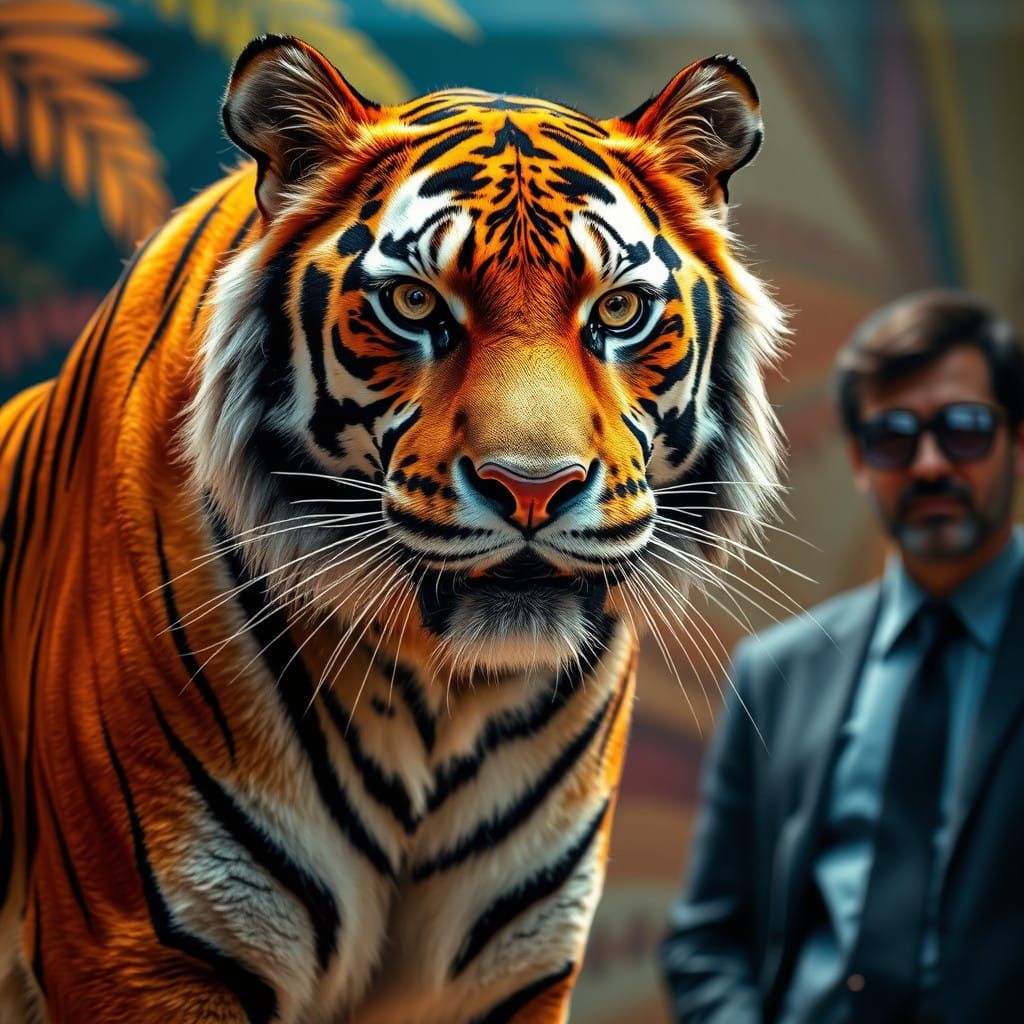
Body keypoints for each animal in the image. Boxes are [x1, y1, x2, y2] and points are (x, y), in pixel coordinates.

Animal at [0, 33, 784, 1024]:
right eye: (414, 306)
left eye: (617, 310)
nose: (534, 488)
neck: (439, 695)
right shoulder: (146, 952)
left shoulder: (512, 969)